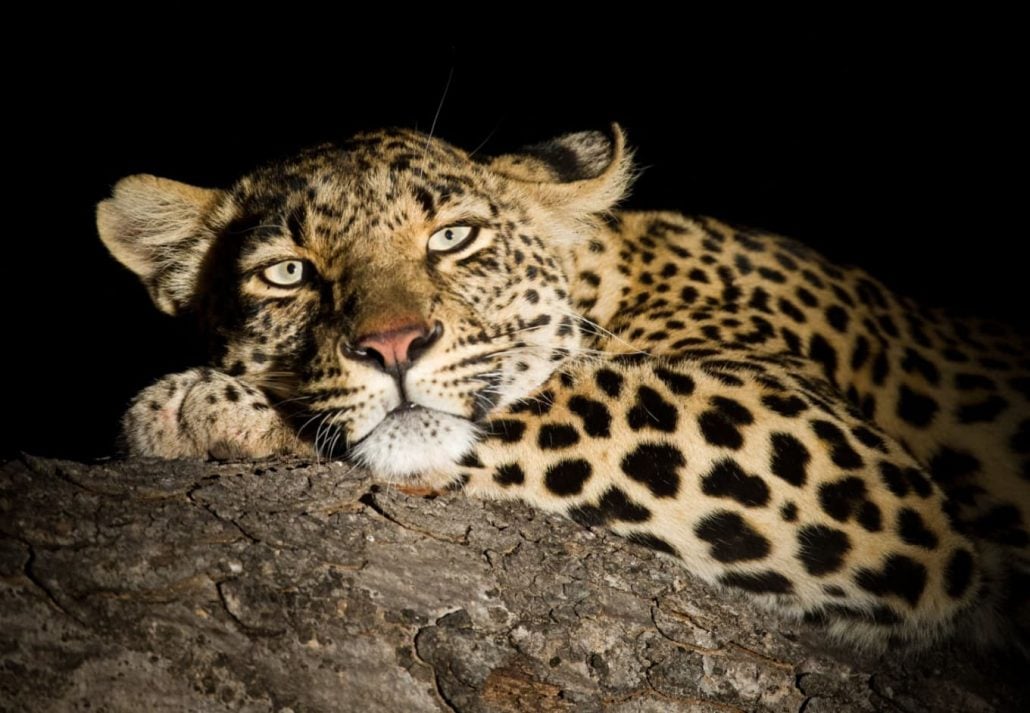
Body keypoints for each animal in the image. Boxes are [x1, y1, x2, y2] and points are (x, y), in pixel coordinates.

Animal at [98, 124, 1030, 651]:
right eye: (288, 273)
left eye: (454, 237)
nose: (394, 344)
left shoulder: (827, 446)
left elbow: (562, 394)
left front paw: (197, 407)